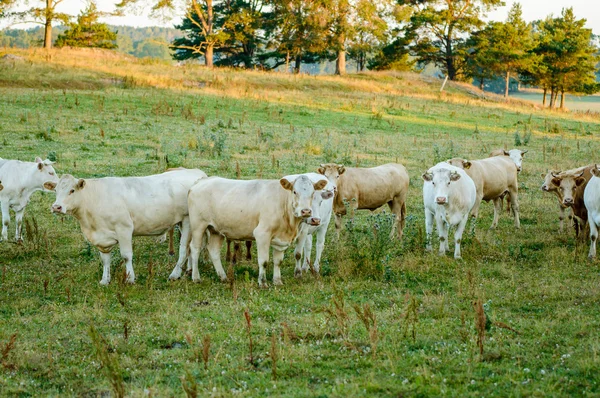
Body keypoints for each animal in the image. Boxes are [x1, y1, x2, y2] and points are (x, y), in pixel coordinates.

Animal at [49, 169, 209, 284]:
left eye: (72, 190)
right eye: (55, 191)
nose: (56, 207)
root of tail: (197, 173)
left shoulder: (124, 228)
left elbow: (126, 256)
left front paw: (130, 278)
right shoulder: (102, 238)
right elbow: (105, 259)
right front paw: (105, 280)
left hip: (188, 221)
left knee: (184, 248)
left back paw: (175, 274)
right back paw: (188, 270)